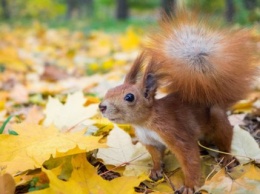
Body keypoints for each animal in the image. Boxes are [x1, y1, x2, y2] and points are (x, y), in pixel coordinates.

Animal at [98, 11, 255, 193]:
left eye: (129, 97)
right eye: (108, 91)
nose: (102, 107)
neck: (145, 123)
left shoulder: (174, 133)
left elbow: (189, 159)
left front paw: (189, 186)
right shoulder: (150, 142)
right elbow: (156, 156)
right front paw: (156, 170)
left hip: (217, 119)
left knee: (225, 141)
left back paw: (226, 158)